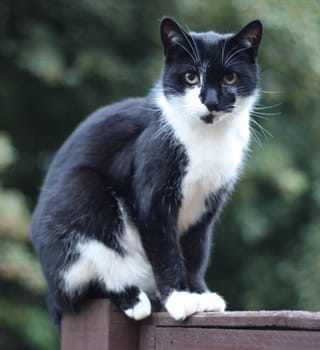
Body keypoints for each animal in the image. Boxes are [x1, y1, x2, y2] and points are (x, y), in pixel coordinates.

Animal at [30, 17, 262, 326]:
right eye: (191, 77)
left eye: (230, 78)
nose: (211, 102)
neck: (207, 140)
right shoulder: (153, 189)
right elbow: (165, 249)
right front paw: (179, 299)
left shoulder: (208, 202)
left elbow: (196, 250)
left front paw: (200, 294)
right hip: (80, 192)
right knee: (82, 286)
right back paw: (133, 298)